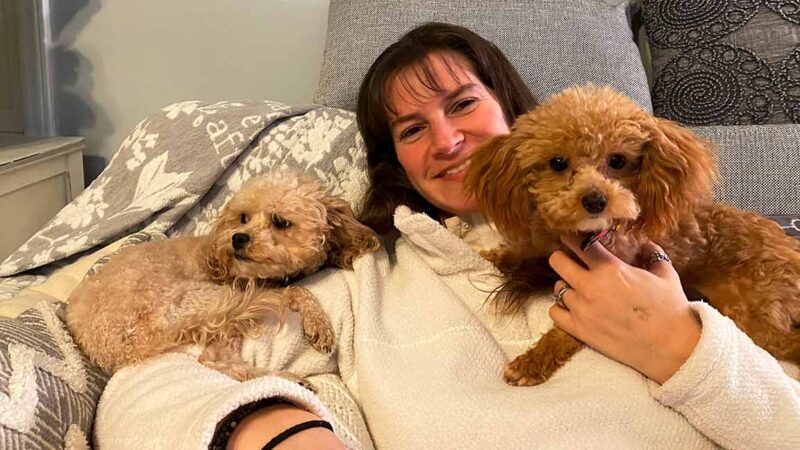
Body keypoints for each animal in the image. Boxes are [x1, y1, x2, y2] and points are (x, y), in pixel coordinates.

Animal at [67, 171, 380, 380]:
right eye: (243, 217)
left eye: (280, 221)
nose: (237, 238)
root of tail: (112, 345)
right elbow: (299, 290)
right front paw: (319, 325)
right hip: (205, 300)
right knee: (211, 360)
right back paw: (286, 379)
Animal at [466, 84, 800, 386]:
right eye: (557, 163)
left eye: (617, 160)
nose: (595, 201)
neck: (584, 236)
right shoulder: (545, 245)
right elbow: (522, 251)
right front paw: (489, 254)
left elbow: (566, 331)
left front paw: (532, 362)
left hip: (754, 313)